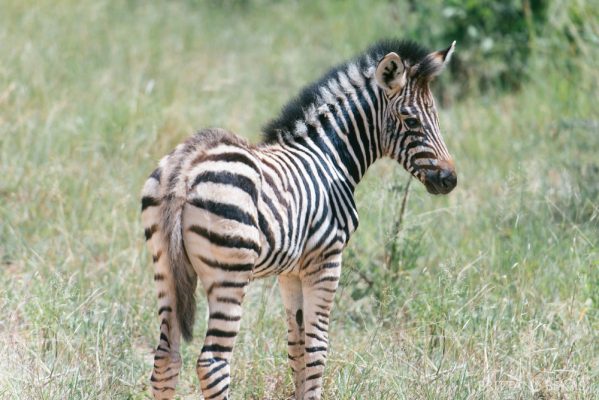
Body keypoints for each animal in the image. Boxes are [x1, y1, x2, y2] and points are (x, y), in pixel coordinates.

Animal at [142, 38, 460, 400]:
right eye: (411, 121)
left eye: (436, 117)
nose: (450, 179)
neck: (329, 156)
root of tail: (187, 164)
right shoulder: (326, 260)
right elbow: (317, 347)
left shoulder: (290, 271)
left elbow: (296, 345)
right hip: (229, 274)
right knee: (213, 363)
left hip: (165, 268)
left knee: (166, 357)